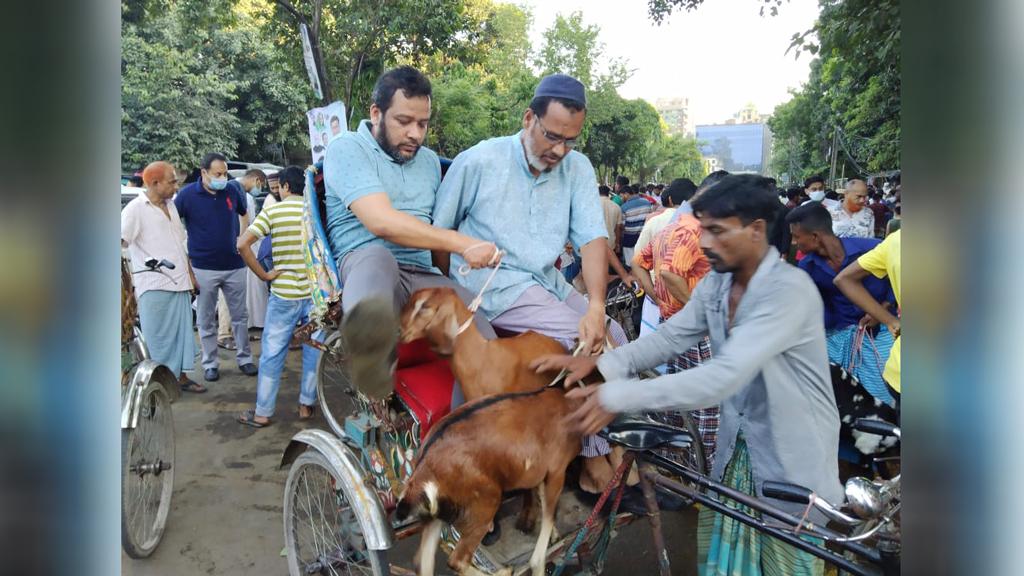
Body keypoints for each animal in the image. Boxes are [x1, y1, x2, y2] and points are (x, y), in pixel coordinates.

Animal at [393, 385, 581, 573]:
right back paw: (505, 571)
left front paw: (555, 535)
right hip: (483, 504)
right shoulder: (557, 470)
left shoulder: (539, 474)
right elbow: (549, 514)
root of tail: (422, 472)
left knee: (422, 562)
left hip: (436, 516)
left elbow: (544, 502)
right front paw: (540, 564)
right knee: (457, 561)